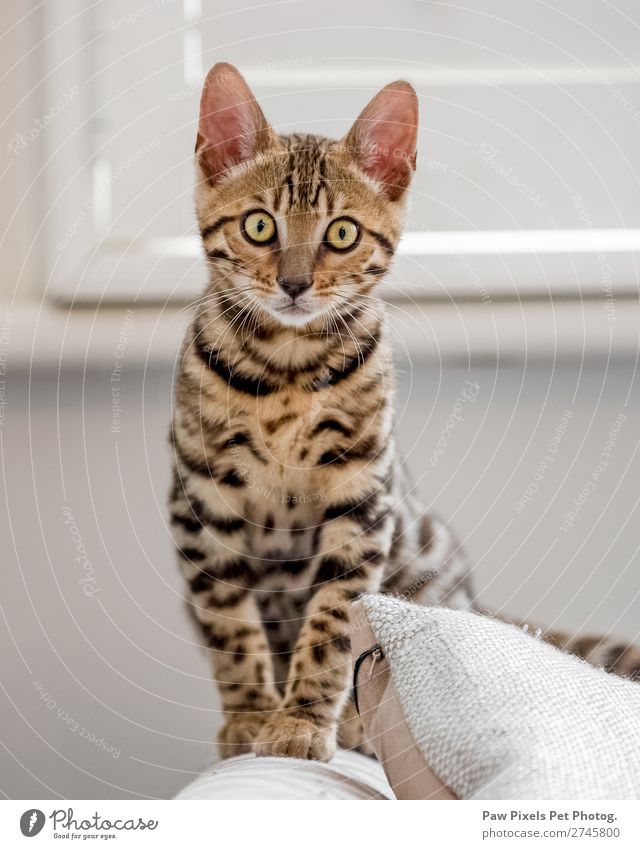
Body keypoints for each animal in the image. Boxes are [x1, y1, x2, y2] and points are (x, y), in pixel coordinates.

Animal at [171, 61, 640, 760]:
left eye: (342, 233)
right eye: (259, 225)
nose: (294, 283)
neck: (286, 372)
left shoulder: (362, 497)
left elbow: (332, 627)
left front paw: (302, 722)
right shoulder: (202, 503)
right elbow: (230, 625)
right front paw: (253, 715)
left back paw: (359, 725)